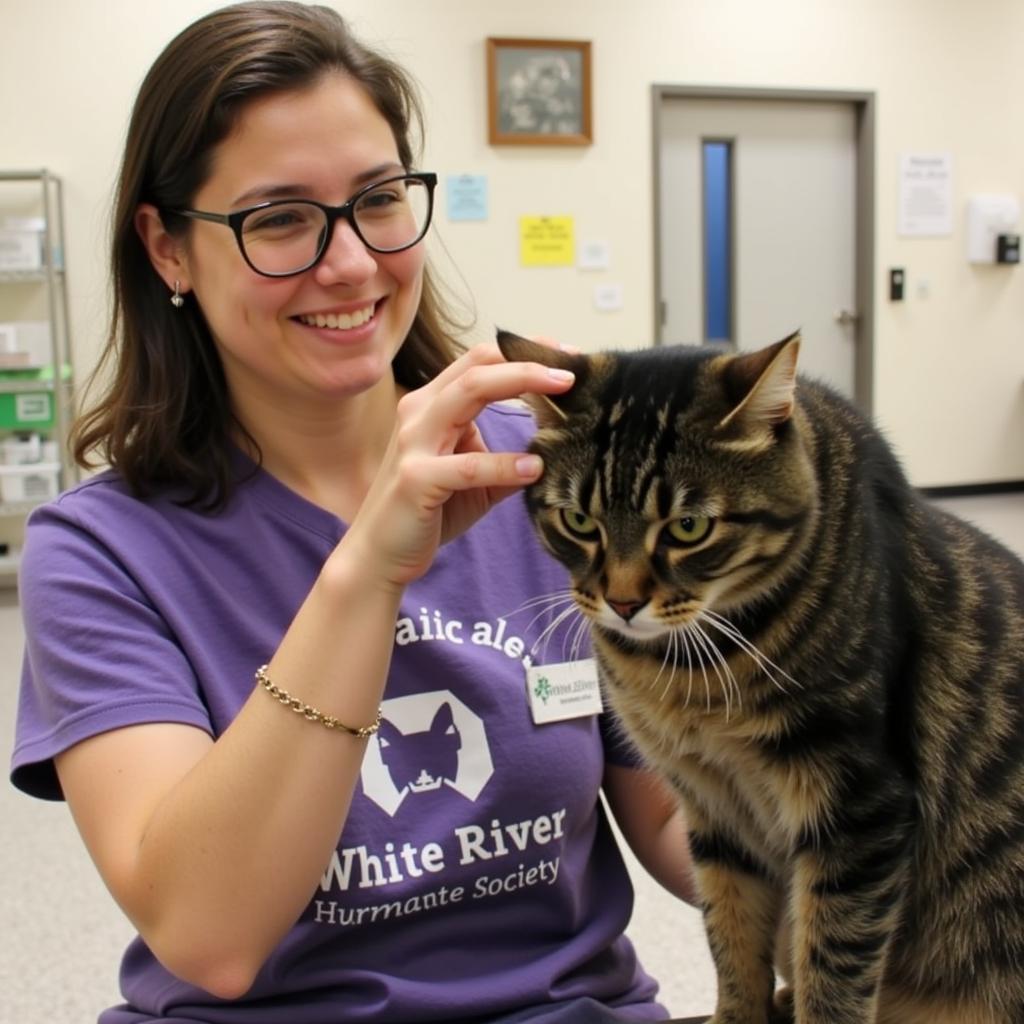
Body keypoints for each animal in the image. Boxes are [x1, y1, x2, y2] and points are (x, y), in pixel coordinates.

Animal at [495, 329, 1024, 1024]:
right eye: (580, 522)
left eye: (689, 527)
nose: (623, 602)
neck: (688, 670)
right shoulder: (712, 809)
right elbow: (732, 938)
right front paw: (740, 1010)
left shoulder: (860, 807)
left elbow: (834, 967)